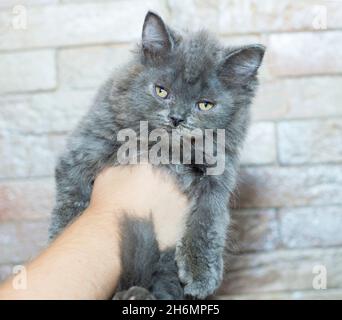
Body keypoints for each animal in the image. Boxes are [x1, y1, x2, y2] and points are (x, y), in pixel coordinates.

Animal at [49, 10, 266, 300]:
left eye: (204, 105)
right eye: (161, 91)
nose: (176, 118)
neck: (166, 151)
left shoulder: (220, 175)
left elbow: (209, 217)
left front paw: (200, 272)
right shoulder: (85, 149)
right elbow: (71, 199)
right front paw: (60, 236)